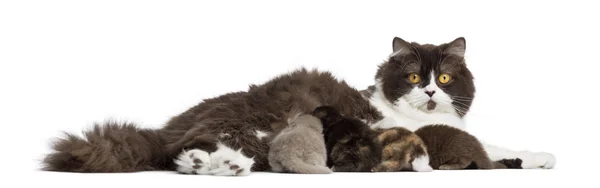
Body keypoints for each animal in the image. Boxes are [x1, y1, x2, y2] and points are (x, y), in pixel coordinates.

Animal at [42, 36, 556, 175]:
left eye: (444, 79)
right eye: (414, 77)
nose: (430, 92)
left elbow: (495, 147)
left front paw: (534, 158)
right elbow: (493, 146)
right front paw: (536, 156)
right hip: (243, 125)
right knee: (183, 151)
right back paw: (221, 167)